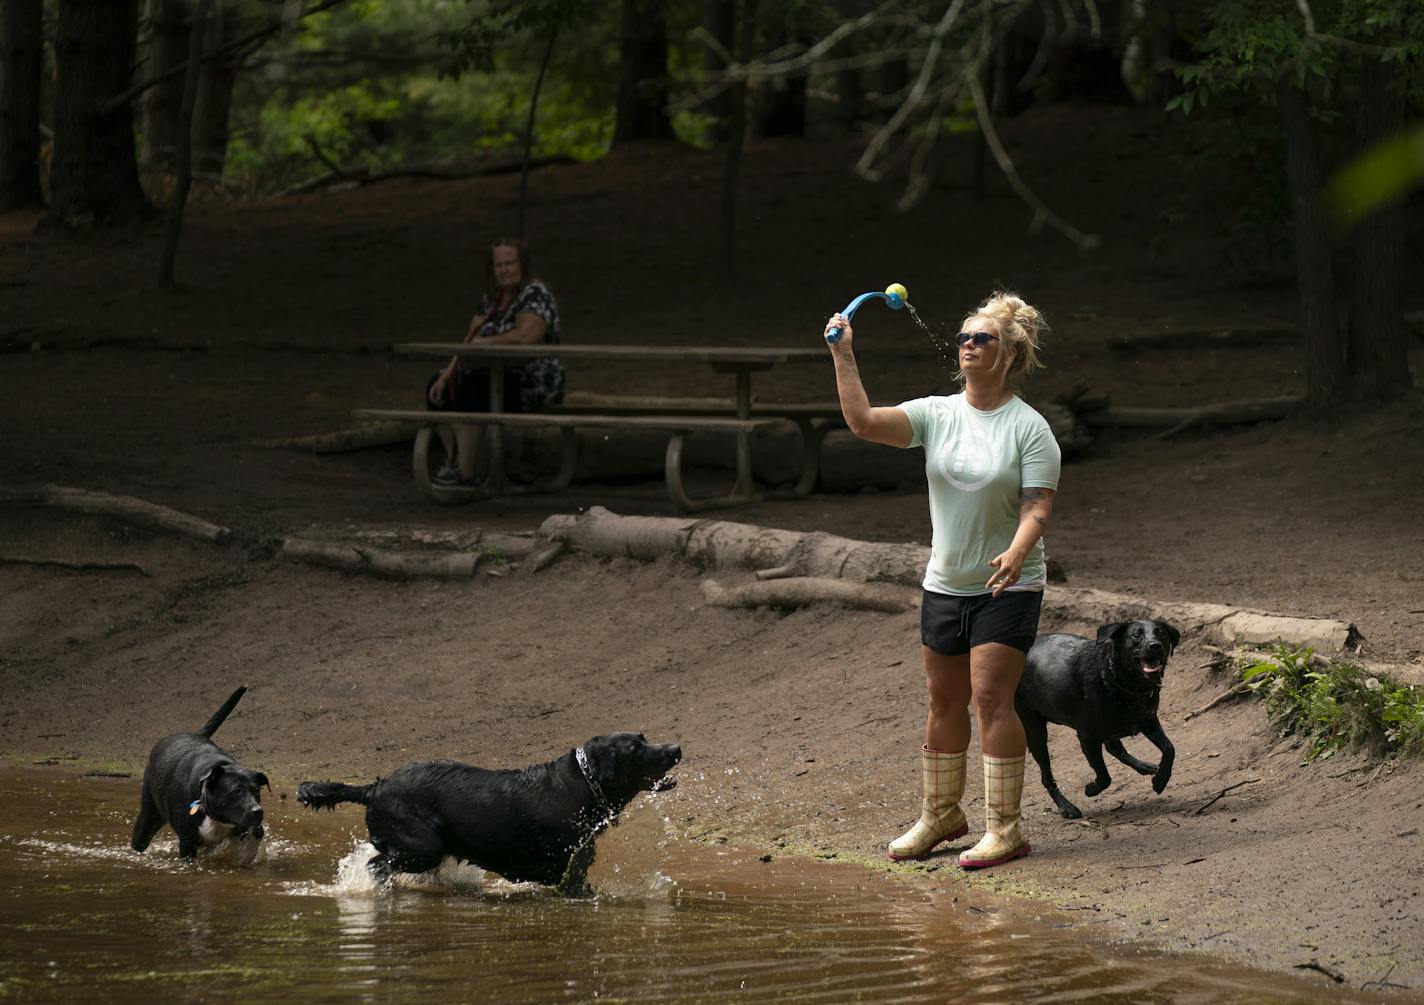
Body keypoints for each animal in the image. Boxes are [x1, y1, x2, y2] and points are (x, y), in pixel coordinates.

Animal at [132, 686, 270, 859]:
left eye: (257, 791)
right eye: (236, 790)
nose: (258, 811)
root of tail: (197, 733)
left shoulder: (245, 825)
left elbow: (257, 832)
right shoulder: (187, 842)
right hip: (149, 816)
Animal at [297, 728, 680, 893]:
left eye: (644, 737)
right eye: (635, 748)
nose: (676, 748)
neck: (585, 784)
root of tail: (374, 787)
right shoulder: (566, 872)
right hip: (422, 846)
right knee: (377, 864)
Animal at [1019, 617, 1184, 814]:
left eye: (1161, 634)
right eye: (1136, 635)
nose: (1155, 645)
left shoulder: (1149, 720)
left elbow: (1169, 748)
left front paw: (1160, 780)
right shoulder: (1087, 738)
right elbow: (1104, 776)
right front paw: (1091, 789)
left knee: (1115, 748)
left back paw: (1143, 766)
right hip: (1035, 730)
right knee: (1046, 776)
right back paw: (1066, 807)